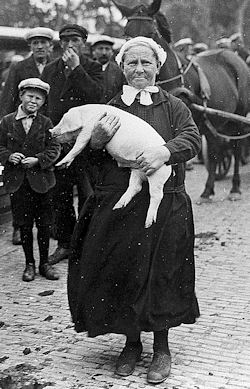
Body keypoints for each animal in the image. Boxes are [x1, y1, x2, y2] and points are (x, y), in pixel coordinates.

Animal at [112, 0, 250, 202]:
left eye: (152, 33)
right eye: (126, 33)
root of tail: (236, 57)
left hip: (237, 117)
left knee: (237, 146)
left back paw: (235, 188)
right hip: (210, 122)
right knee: (215, 149)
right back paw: (208, 190)